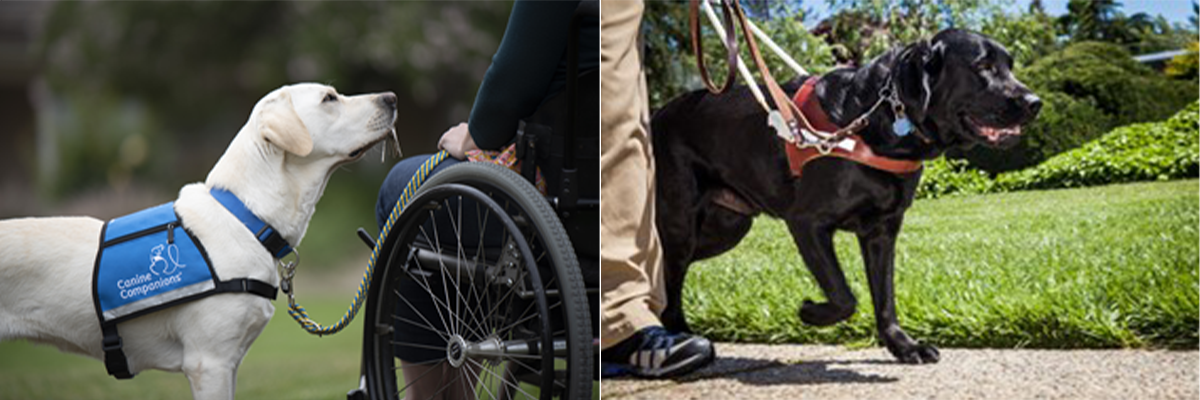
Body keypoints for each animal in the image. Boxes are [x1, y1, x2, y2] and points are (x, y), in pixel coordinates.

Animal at [652, 29, 1036, 362]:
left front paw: (904, 347)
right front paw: (810, 312)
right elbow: (844, 295)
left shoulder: (882, 232)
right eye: (983, 66)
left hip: (726, 227)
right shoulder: (806, 222)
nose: (1036, 102)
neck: (879, 119)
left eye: (1010, 65)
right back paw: (680, 335)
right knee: (670, 278)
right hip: (682, 224)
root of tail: (656, 114)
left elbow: (885, 298)